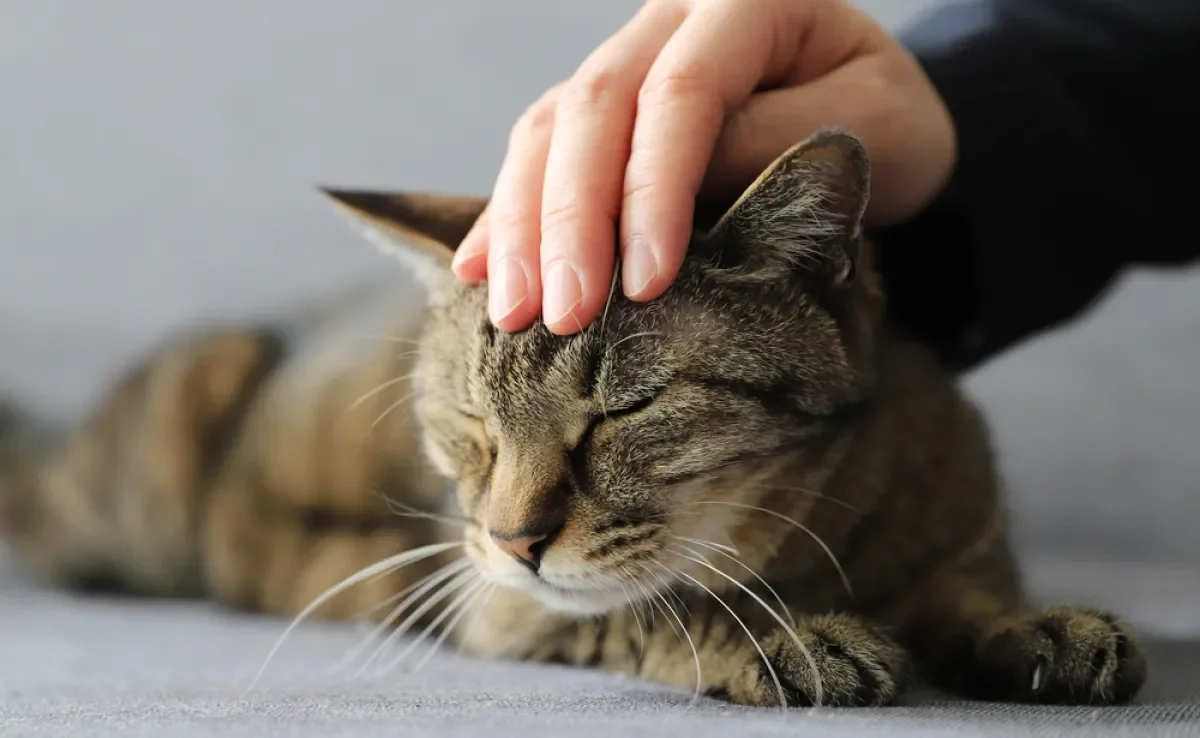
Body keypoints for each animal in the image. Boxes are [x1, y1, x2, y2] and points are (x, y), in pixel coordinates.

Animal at [0, 130, 1142, 705]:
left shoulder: (964, 522)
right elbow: (655, 611)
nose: (512, 536)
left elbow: (971, 585)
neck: (824, 535)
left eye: (625, 410)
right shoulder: (497, 600)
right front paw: (780, 634)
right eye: (470, 423)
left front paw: (1033, 623)